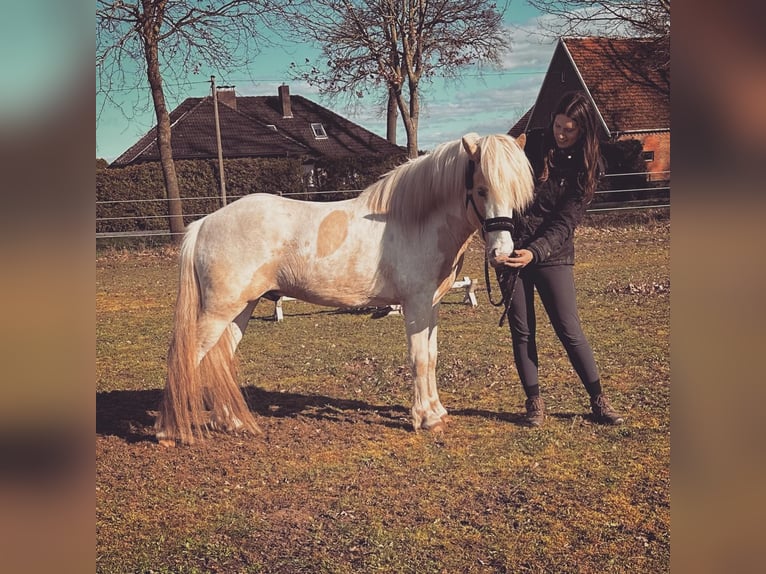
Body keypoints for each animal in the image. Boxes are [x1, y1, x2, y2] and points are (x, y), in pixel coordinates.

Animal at [156, 133, 536, 448]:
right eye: (482, 189)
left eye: (516, 193)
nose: (502, 254)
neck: (414, 220)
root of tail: (205, 223)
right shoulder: (415, 306)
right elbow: (419, 358)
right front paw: (424, 418)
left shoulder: (432, 306)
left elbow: (432, 356)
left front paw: (436, 413)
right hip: (218, 311)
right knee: (185, 356)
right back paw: (169, 431)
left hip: (240, 309)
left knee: (220, 357)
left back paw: (231, 422)